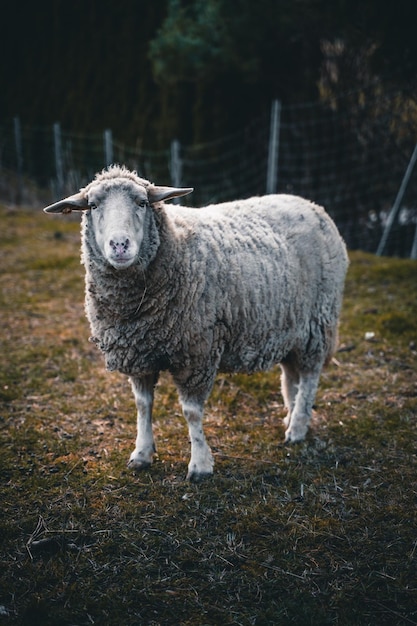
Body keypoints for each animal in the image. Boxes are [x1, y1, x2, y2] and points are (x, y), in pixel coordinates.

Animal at [43, 163, 348, 480]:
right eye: (92, 205)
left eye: (142, 203)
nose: (119, 245)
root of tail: (310, 205)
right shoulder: (138, 354)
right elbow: (142, 405)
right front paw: (142, 453)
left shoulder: (196, 351)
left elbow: (191, 412)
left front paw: (200, 464)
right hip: (290, 327)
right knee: (291, 374)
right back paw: (290, 416)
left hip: (318, 322)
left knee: (310, 376)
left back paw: (298, 428)